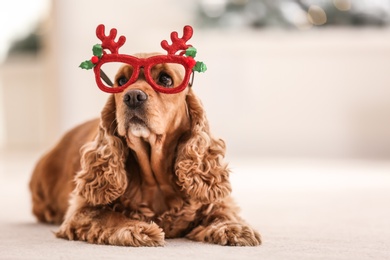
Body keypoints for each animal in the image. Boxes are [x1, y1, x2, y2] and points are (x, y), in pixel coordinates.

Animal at [29, 25, 260, 247]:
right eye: (121, 80)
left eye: (165, 79)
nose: (132, 96)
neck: (155, 180)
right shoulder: (82, 209)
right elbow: (109, 216)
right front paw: (137, 229)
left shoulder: (215, 199)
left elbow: (223, 212)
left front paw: (235, 228)